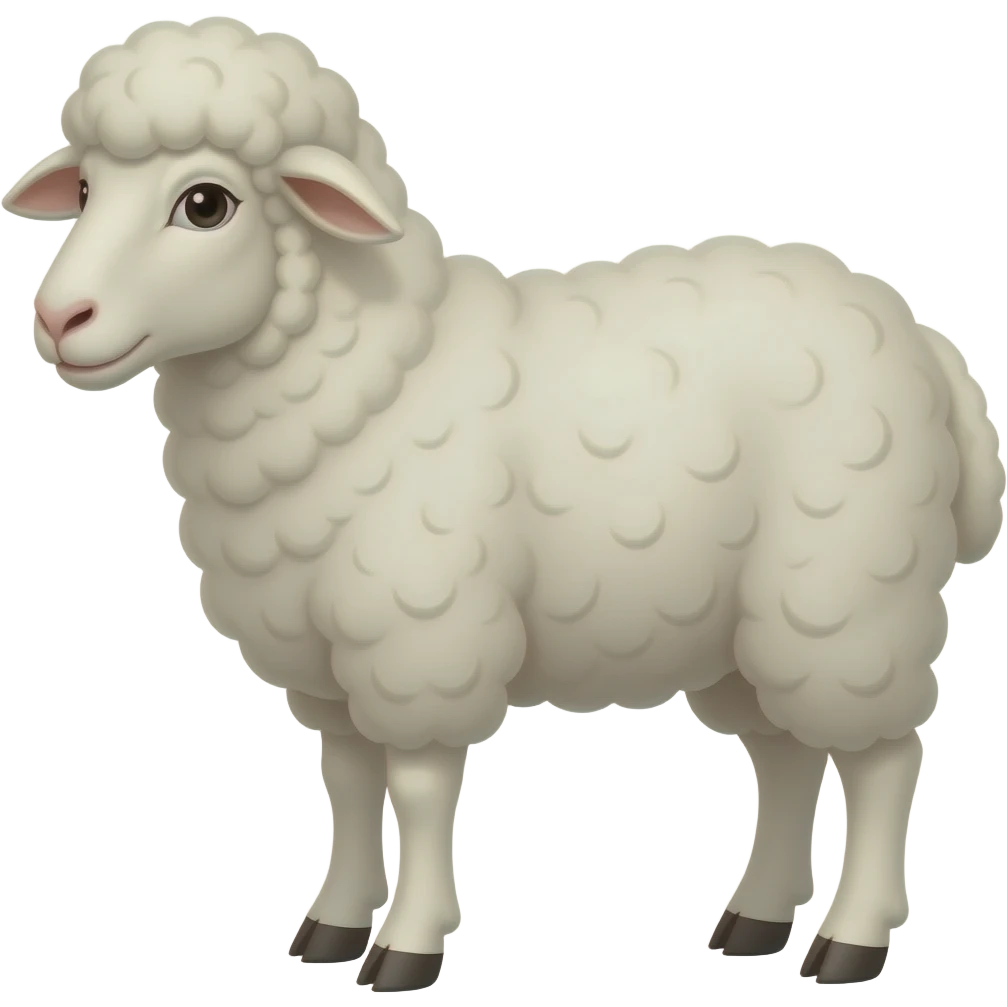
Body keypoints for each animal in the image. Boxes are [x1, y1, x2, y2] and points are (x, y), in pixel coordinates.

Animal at [3, 16, 1003, 993]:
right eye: (85, 187)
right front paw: (330, 924)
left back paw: (850, 939)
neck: (373, 373)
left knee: (880, 759)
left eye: (207, 204)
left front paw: (405, 946)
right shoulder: (331, 659)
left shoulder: (419, 635)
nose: (59, 317)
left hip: (846, 593)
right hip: (748, 625)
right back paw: (753, 920)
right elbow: (347, 780)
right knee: (785, 754)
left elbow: (413, 786)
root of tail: (918, 332)